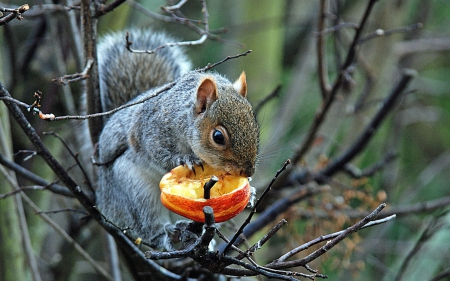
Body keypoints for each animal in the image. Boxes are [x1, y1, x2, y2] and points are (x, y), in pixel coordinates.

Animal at [94, 29, 260, 249]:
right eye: (218, 137)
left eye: (255, 126)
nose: (248, 171)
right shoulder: (151, 130)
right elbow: (156, 152)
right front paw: (185, 161)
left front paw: (251, 192)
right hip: (133, 190)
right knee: (148, 226)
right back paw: (169, 236)